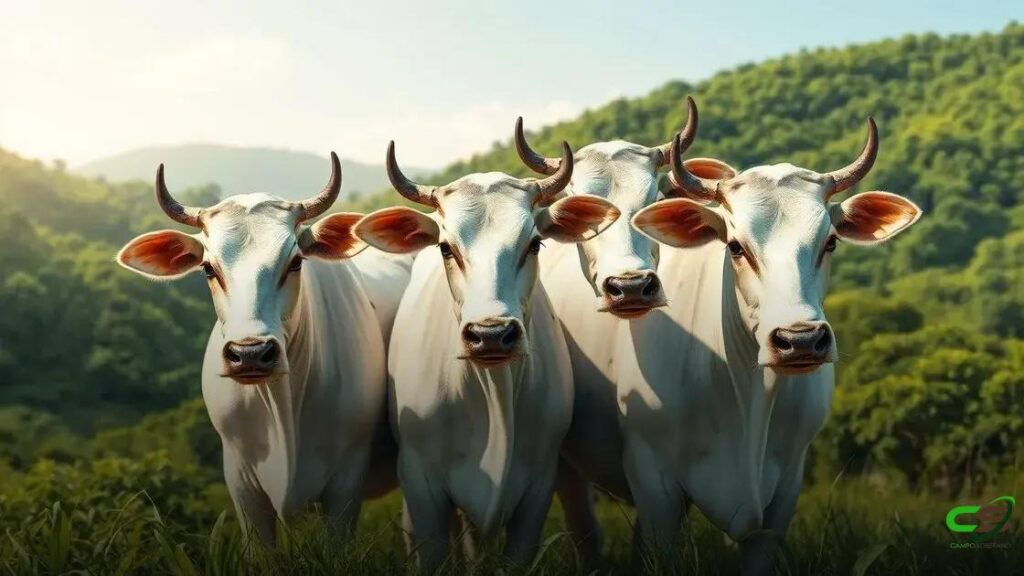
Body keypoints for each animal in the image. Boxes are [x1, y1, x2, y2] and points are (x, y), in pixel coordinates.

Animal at [352, 140, 620, 571]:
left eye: (534, 243)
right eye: (446, 247)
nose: (491, 335)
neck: (493, 396)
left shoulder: (537, 488)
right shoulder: (421, 482)